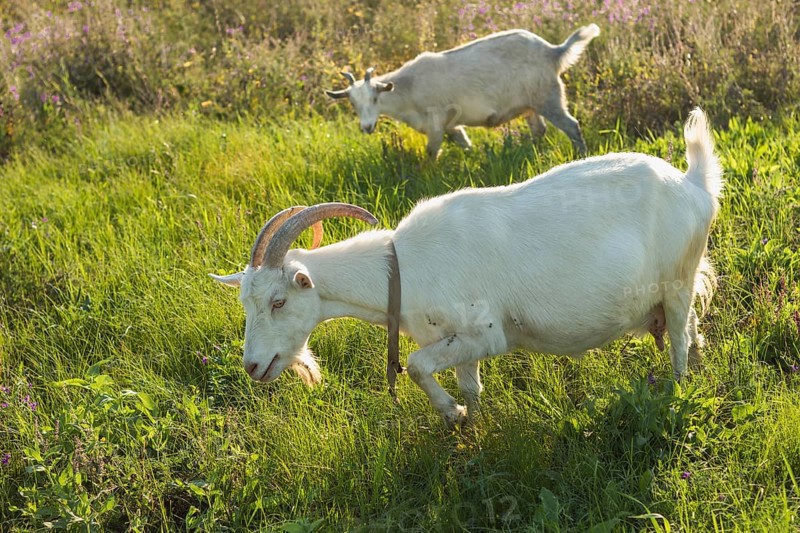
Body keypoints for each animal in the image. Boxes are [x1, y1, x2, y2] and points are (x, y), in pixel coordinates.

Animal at [211, 109, 722, 428]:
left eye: (279, 301)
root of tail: (693, 184)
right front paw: (470, 424)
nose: (252, 365)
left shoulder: (485, 332)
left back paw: (677, 388)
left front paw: (451, 414)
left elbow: (415, 366)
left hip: (676, 281)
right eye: (246, 304)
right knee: (692, 328)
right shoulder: (454, 341)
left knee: (679, 341)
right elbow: (469, 385)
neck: (401, 267)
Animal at [325, 24, 600, 159]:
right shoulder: (451, 125)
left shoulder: (436, 121)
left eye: (375, 98)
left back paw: (582, 156)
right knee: (539, 130)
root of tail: (553, 52)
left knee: (572, 126)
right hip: (531, 105)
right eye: (353, 104)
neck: (408, 89)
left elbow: (430, 153)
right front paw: (474, 159)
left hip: (549, 98)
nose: (367, 127)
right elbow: (464, 143)